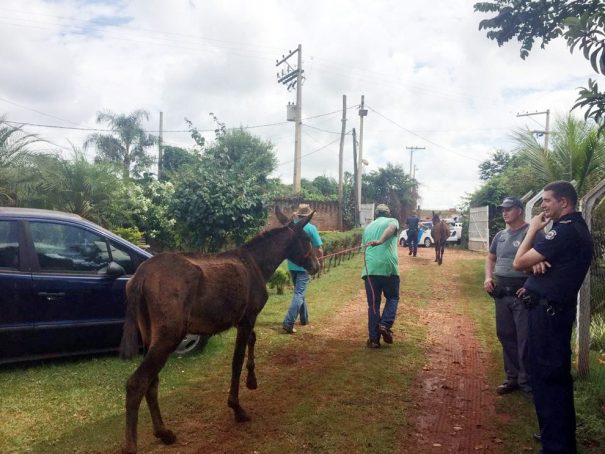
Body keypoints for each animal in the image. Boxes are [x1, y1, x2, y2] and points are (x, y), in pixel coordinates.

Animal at [115, 207, 318, 452]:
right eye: (307, 239)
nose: (316, 265)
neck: (260, 265)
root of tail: (140, 278)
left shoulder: (244, 318)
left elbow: (253, 340)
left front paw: (252, 380)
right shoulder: (248, 317)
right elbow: (237, 361)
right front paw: (237, 407)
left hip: (149, 335)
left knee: (152, 382)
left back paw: (164, 432)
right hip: (169, 336)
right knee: (137, 383)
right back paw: (133, 444)